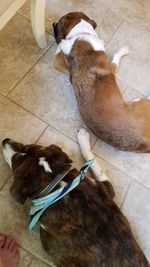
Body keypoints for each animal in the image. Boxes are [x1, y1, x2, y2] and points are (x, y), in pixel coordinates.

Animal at [1, 129, 149, 266]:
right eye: (27, 146)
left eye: (15, 161)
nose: (5, 140)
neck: (58, 184)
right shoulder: (105, 188)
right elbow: (94, 163)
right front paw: (83, 138)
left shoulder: (54, 248)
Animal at [53, 12, 150, 153]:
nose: (53, 23)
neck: (80, 35)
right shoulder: (112, 67)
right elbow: (116, 56)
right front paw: (123, 50)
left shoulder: (57, 62)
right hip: (140, 103)